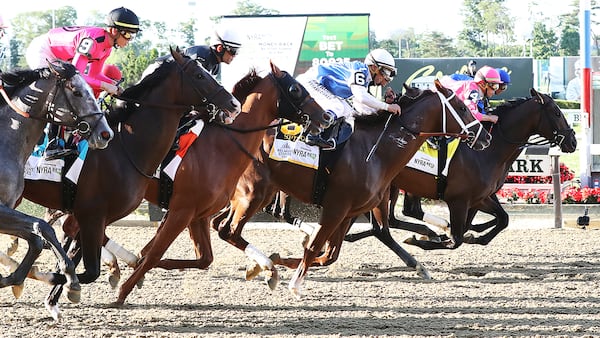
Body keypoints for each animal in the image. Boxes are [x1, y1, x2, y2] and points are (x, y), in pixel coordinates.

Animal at [0, 59, 113, 304]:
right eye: (78, 92)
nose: (106, 134)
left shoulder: (7, 209)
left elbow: (37, 236)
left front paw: (12, 280)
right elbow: (43, 227)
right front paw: (71, 279)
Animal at [21, 46, 241, 316]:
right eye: (199, 75)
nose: (234, 104)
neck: (127, 147)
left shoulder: (96, 215)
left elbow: (77, 257)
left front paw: (55, 296)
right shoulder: (94, 213)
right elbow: (88, 265)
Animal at [110, 60, 336, 306]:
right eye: (295, 89)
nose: (325, 116)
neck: (222, 146)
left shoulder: (196, 214)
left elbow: (202, 259)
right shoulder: (183, 210)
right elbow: (153, 253)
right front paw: (124, 288)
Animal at [203, 80, 492, 298]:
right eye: (461, 107)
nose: (485, 136)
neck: (377, 150)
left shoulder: (350, 211)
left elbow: (328, 254)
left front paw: (281, 261)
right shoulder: (335, 207)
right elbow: (315, 248)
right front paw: (294, 283)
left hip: (244, 196)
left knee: (220, 225)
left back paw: (262, 266)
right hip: (255, 193)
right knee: (228, 229)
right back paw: (266, 267)